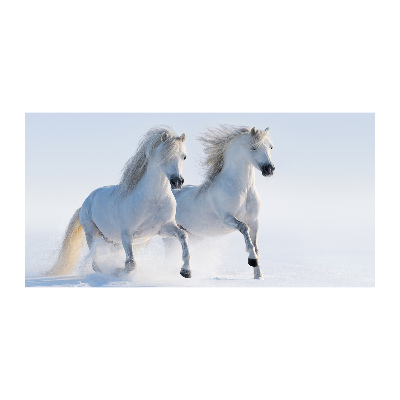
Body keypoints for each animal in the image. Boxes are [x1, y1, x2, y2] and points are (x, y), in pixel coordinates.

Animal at [47, 128, 192, 278]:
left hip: (112, 241)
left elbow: (183, 236)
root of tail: (85, 203)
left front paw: (186, 271)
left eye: (184, 157)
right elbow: (131, 263)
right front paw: (117, 271)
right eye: (164, 155)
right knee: (94, 260)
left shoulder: (163, 228)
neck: (153, 200)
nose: (177, 181)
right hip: (91, 233)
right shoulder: (126, 234)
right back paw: (103, 272)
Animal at [164, 126, 274, 280]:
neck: (243, 191)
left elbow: (256, 246)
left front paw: (258, 276)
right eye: (254, 147)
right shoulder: (227, 219)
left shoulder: (254, 222)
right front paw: (251, 259)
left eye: (270, 147)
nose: (269, 169)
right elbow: (244, 228)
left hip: (192, 236)